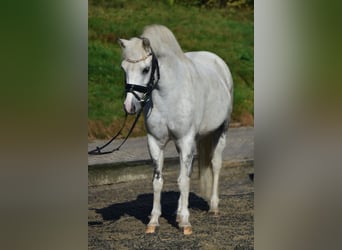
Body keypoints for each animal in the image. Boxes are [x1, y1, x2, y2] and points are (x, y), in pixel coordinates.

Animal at [119, 24, 234, 235]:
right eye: (124, 68)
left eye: (145, 69)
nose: (130, 106)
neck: (169, 95)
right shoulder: (155, 142)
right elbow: (158, 181)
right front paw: (153, 221)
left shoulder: (185, 139)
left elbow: (183, 181)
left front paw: (186, 223)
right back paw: (179, 212)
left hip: (221, 131)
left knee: (215, 164)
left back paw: (213, 207)